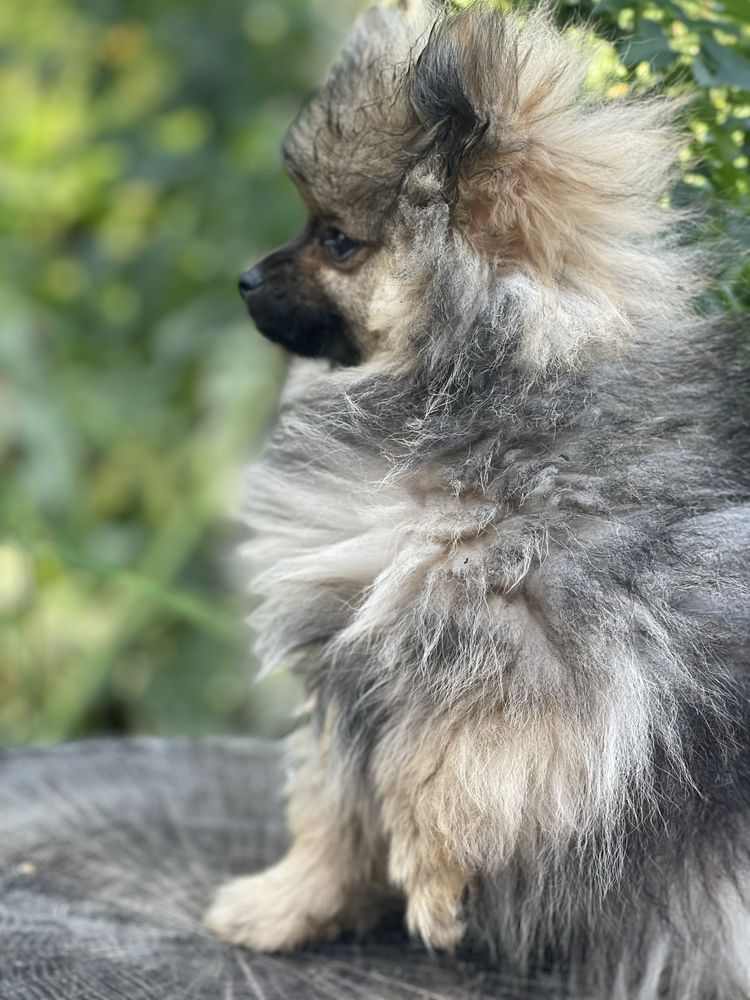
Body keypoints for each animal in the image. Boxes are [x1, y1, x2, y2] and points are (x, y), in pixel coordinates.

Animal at [206, 3, 750, 996]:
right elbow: (333, 809)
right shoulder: (351, 657)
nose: (247, 279)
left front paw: (433, 887)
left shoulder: (550, 659)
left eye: (337, 238)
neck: (473, 385)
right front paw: (283, 907)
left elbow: (438, 773)